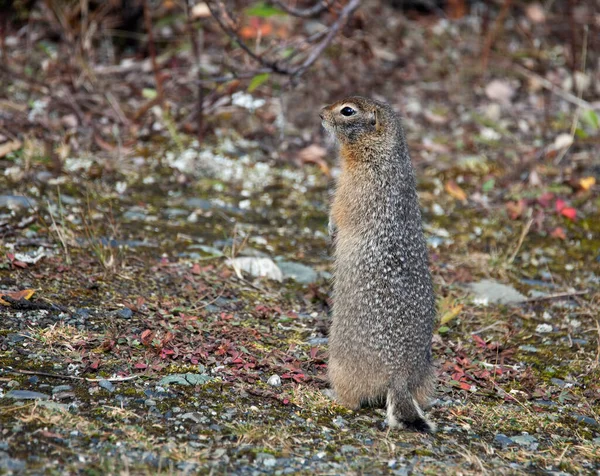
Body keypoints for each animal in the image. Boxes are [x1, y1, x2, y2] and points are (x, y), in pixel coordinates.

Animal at [322, 95, 434, 434]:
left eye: (347, 111)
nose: (320, 114)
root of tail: (399, 375)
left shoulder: (355, 183)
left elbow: (340, 207)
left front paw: (330, 226)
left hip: (340, 363)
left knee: (352, 398)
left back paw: (329, 395)